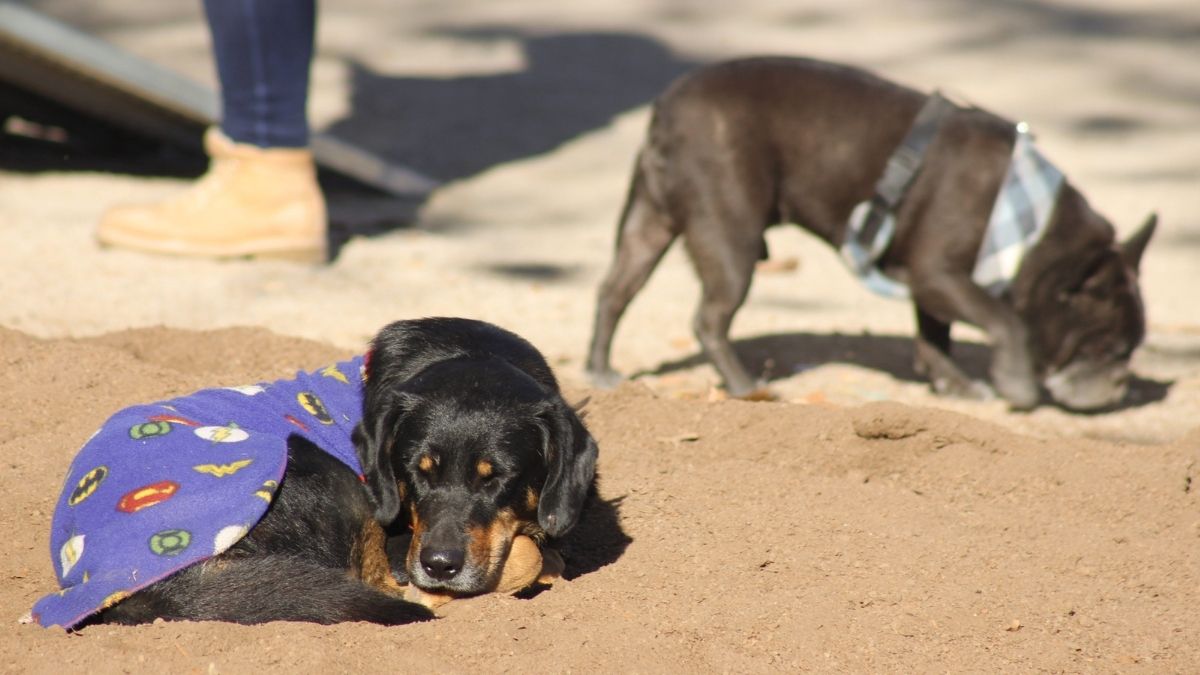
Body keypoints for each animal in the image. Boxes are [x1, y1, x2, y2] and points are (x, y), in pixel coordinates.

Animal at [96, 317, 592, 624]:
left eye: (498, 478)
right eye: (417, 472)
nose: (438, 565)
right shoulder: (400, 545)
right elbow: (531, 556)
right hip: (329, 480)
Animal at [588, 55, 1152, 410]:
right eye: (1107, 348)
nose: (1120, 385)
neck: (1031, 231)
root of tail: (665, 106)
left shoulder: (928, 282)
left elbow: (934, 334)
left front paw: (954, 386)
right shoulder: (941, 275)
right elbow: (1005, 320)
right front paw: (1018, 386)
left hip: (648, 223)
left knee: (614, 291)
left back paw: (600, 369)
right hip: (731, 237)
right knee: (709, 319)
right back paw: (746, 385)